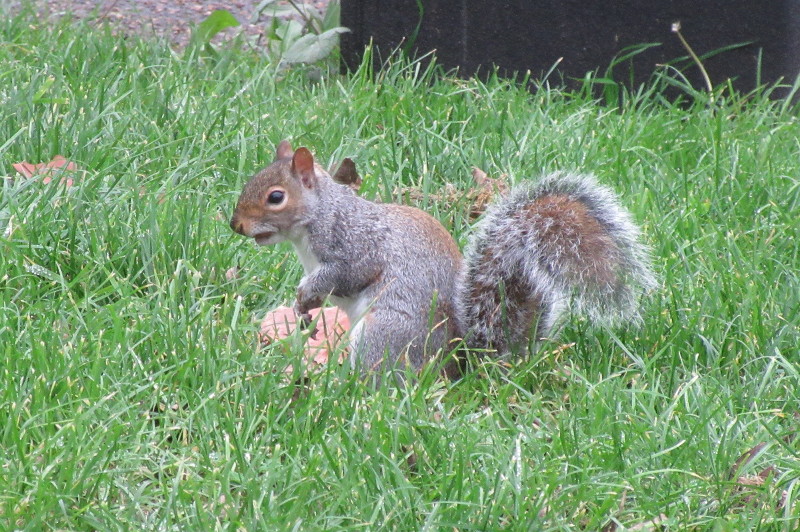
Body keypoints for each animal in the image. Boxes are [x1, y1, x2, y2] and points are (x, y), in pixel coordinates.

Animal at [231, 139, 656, 376]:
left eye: (275, 197)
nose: (236, 225)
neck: (318, 216)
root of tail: (457, 364)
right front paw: (302, 310)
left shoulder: (353, 245)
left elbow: (345, 275)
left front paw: (305, 295)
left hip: (383, 332)